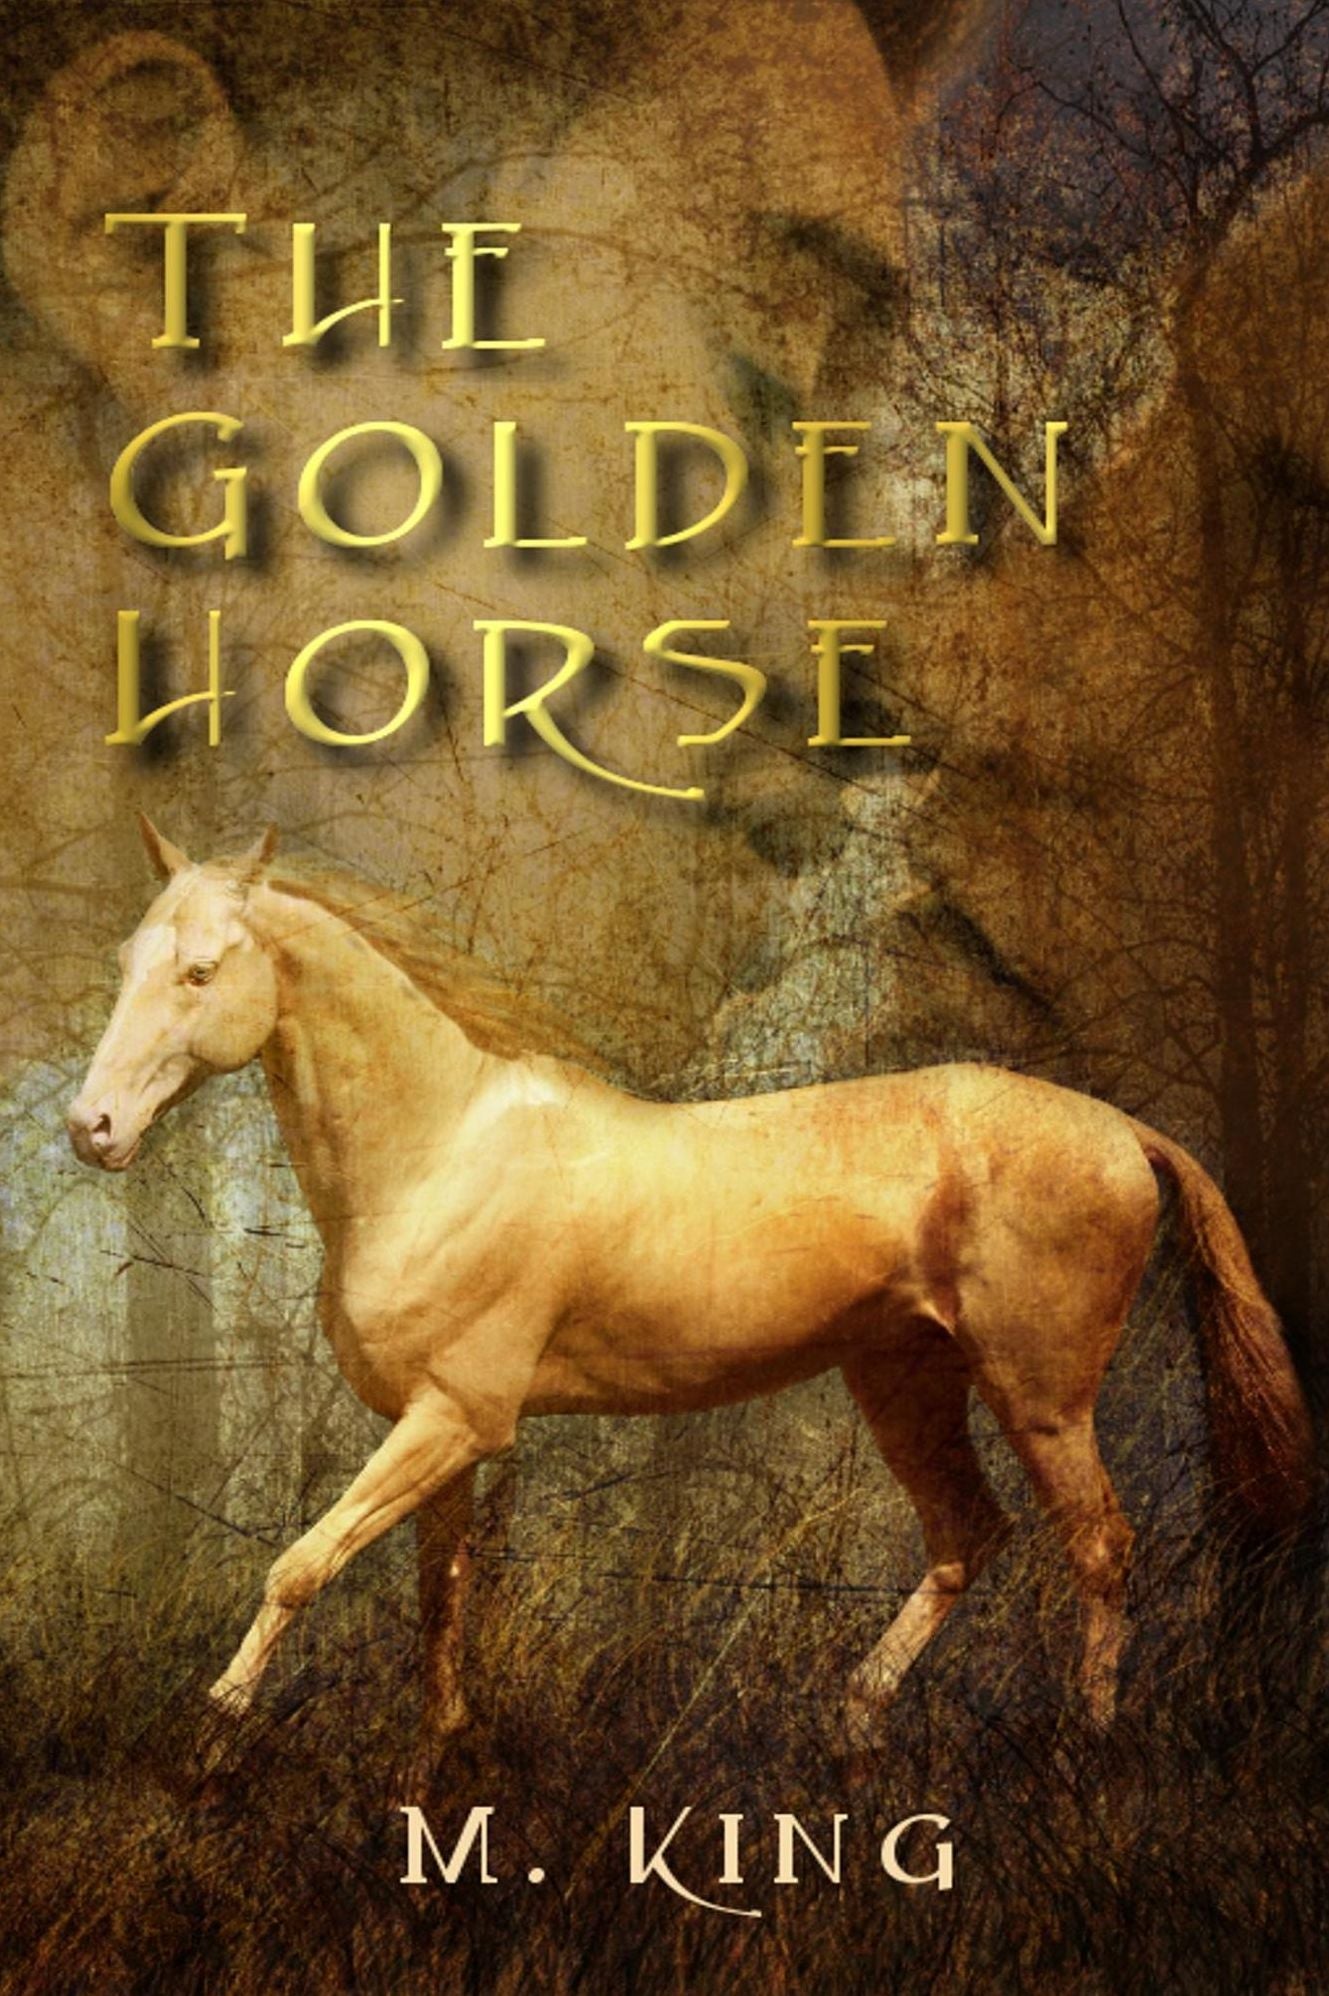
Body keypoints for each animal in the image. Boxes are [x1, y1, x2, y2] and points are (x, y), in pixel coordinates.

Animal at [66, 816, 1314, 1749]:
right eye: (122, 964)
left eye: (199, 970)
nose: (93, 1129)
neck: (437, 1150)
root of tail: (1123, 1131)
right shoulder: (441, 1432)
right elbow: (438, 1599)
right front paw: (440, 1756)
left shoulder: (453, 1419)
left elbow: (298, 1566)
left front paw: (215, 1730)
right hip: (904, 1382)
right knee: (969, 1534)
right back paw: (856, 1721)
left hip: (1041, 1395)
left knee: (1100, 1547)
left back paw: (1085, 1742)